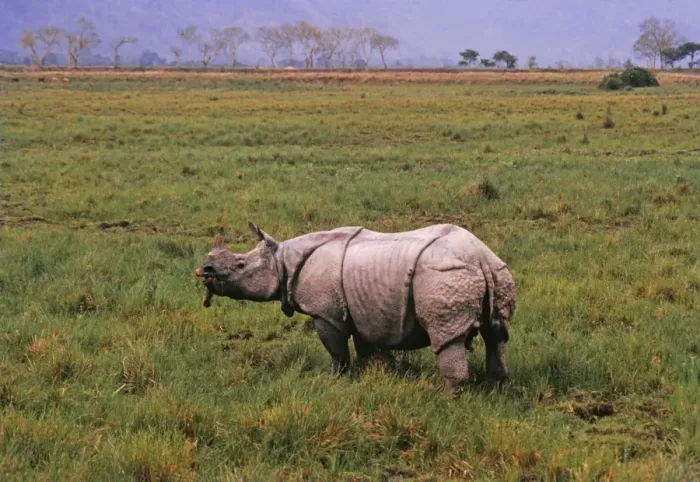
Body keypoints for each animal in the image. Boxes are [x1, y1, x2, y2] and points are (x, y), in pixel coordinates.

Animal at [195, 222, 516, 390]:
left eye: (240, 265)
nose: (204, 270)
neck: (282, 259)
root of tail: (480, 258)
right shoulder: (364, 310)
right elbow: (366, 349)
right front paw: (373, 376)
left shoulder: (325, 312)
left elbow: (336, 350)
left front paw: (336, 379)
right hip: (497, 270)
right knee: (497, 334)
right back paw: (498, 385)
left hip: (443, 274)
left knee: (447, 336)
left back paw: (450, 395)